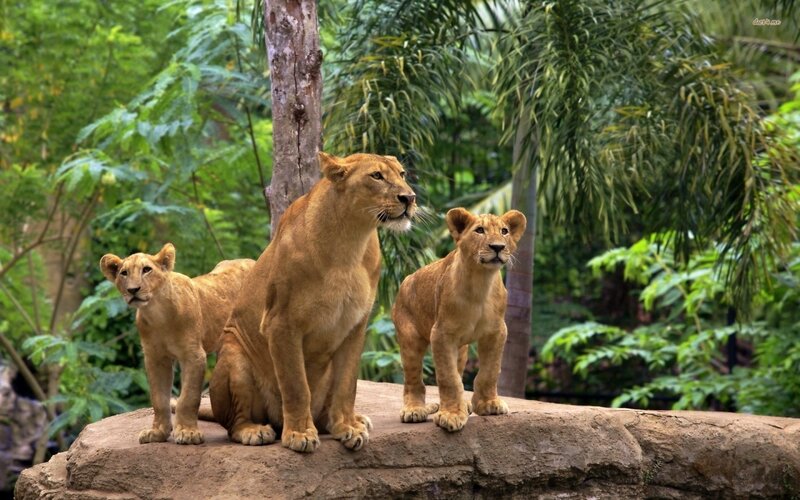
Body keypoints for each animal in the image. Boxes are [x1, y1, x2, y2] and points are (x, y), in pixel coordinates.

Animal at [99, 243, 254, 444]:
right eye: (124, 273)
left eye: (146, 270)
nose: (133, 289)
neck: (157, 314)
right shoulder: (155, 358)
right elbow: (158, 399)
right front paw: (157, 432)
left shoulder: (194, 356)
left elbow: (189, 397)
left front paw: (188, 432)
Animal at [209, 152, 416, 452]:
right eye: (376, 176)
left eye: (402, 174)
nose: (409, 198)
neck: (350, 241)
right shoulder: (280, 324)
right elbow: (296, 385)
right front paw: (299, 434)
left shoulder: (355, 325)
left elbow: (347, 385)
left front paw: (347, 427)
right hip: (235, 357)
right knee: (234, 422)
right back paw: (254, 430)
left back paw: (348, 421)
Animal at [392, 207, 526, 432]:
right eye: (479, 230)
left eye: (504, 231)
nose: (498, 247)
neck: (481, 282)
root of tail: (406, 280)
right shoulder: (441, 334)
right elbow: (449, 378)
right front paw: (452, 415)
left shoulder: (497, 332)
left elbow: (490, 371)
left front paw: (488, 404)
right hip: (410, 339)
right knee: (413, 379)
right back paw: (414, 410)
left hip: (462, 350)